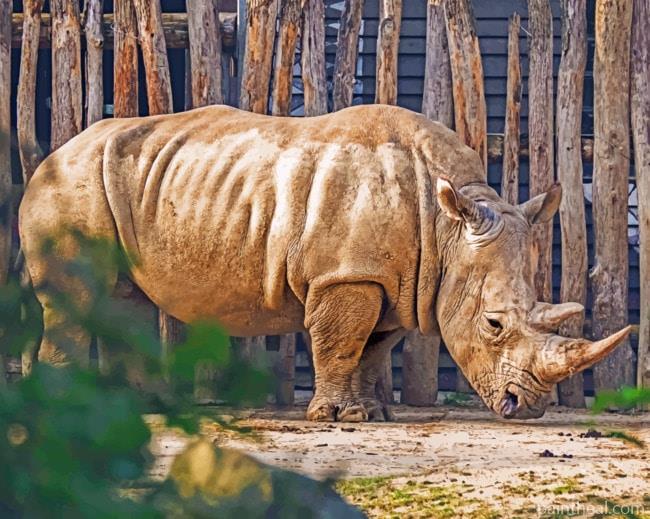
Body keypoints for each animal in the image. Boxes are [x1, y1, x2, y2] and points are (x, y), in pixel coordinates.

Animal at [19, 104, 630, 422]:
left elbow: (373, 346)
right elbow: (340, 340)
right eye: (494, 324)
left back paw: (138, 410)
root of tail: (49, 155)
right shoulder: (346, 273)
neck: (449, 225)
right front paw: (339, 419)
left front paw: (373, 415)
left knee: (122, 300)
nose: (526, 408)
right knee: (77, 301)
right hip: (69, 183)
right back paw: (65, 415)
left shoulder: (395, 280)